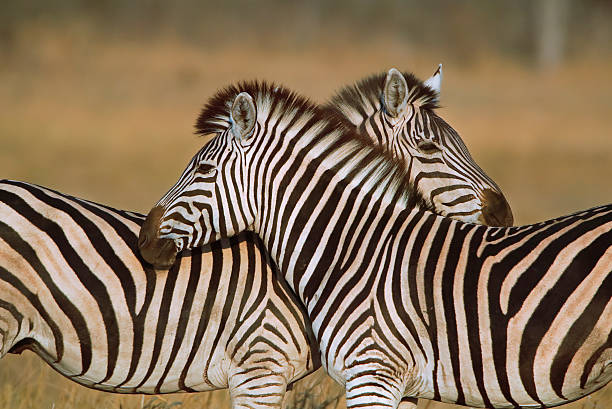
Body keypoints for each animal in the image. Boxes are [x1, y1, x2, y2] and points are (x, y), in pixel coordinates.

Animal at [139, 80, 612, 408]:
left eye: (203, 170)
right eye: (430, 147)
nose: (145, 239)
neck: (357, 248)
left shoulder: (368, 373)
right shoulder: (393, 382)